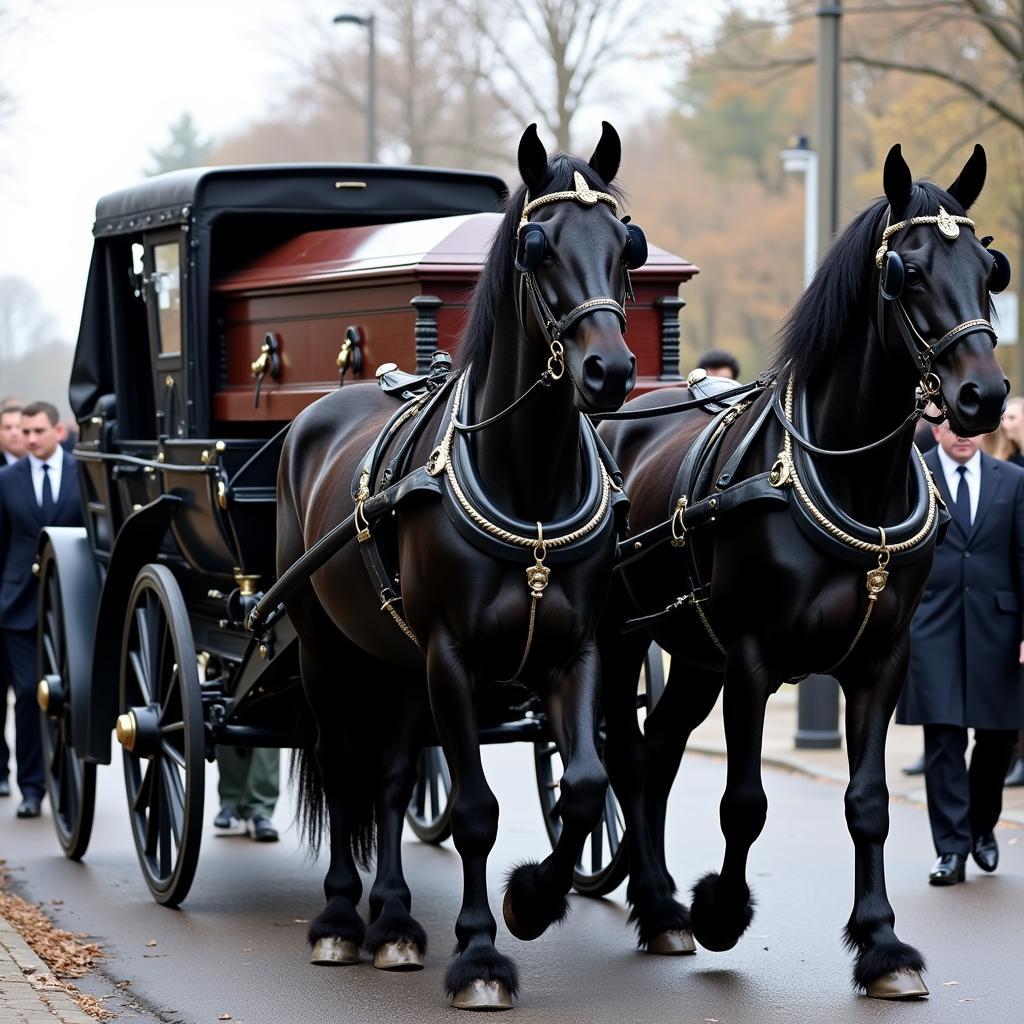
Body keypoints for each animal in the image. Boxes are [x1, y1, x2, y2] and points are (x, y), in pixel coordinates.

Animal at [278, 125, 638, 1007]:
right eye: (538, 246)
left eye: (627, 245)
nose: (610, 372)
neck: (528, 481)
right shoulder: (453, 657)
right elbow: (475, 809)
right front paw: (479, 954)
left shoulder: (572, 651)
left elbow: (585, 786)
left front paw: (532, 899)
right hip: (324, 648)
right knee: (342, 766)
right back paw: (341, 919)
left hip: (396, 660)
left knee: (390, 775)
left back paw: (395, 922)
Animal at [598, 146, 1007, 999]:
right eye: (907, 273)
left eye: (991, 268)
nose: (983, 396)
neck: (851, 479)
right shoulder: (753, 660)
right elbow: (744, 802)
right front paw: (723, 910)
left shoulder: (882, 661)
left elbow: (869, 802)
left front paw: (882, 943)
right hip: (622, 640)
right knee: (624, 754)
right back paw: (660, 904)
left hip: (694, 654)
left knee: (656, 753)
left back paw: (658, 903)